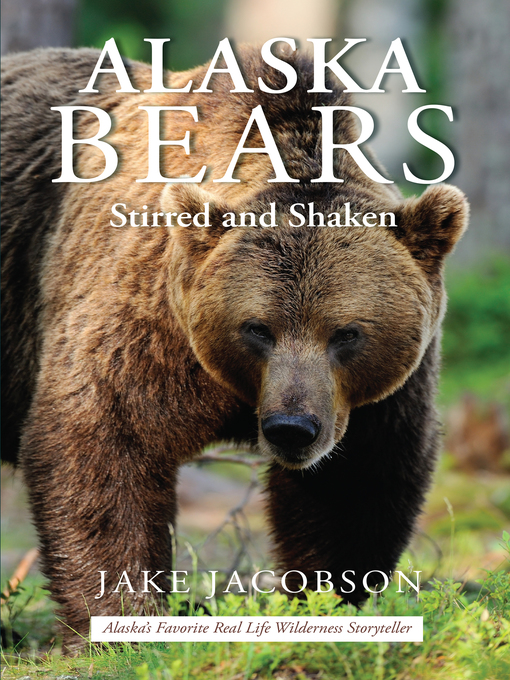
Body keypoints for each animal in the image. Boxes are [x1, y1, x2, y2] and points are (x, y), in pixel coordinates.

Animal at [1, 45, 468, 650]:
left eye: (346, 332)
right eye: (257, 328)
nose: (291, 428)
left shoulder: (379, 395)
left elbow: (353, 483)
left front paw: (327, 601)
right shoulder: (142, 317)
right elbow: (103, 439)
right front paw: (122, 622)